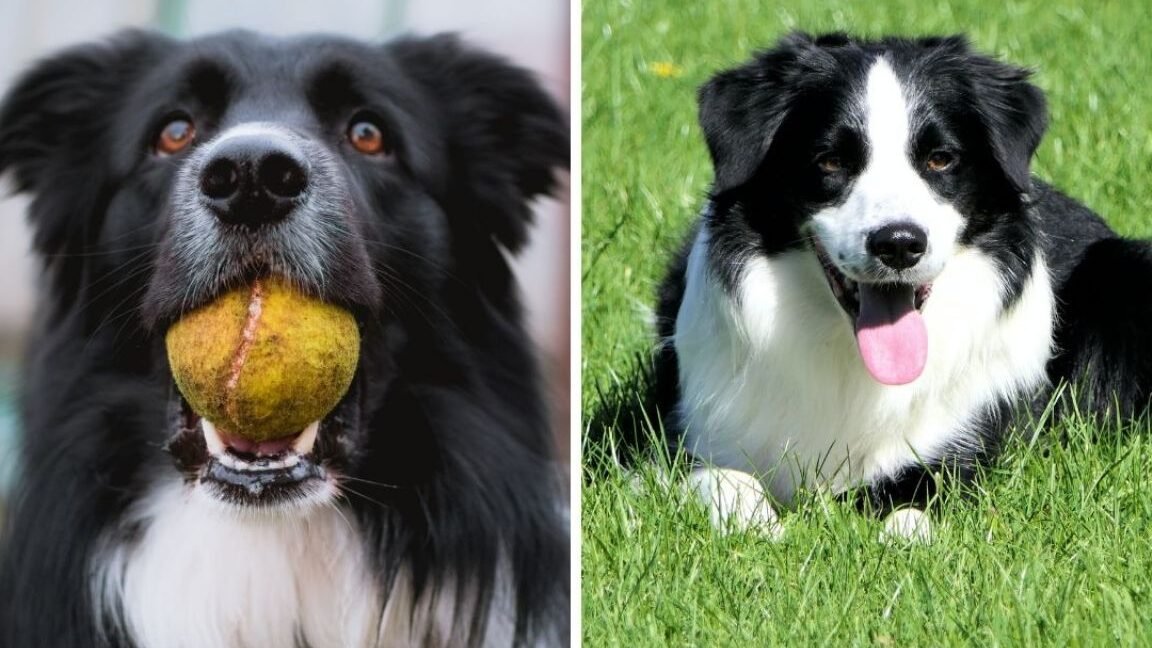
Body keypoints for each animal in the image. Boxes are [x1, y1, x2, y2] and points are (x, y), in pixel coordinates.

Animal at [658, 32, 1152, 537]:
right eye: (830, 161)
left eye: (940, 159)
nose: (898, 244)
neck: (849, 363)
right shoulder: (689, 433)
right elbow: (722, 479)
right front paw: (759, 524)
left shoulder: (958, 446)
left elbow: (912, 502)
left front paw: (899, 533)